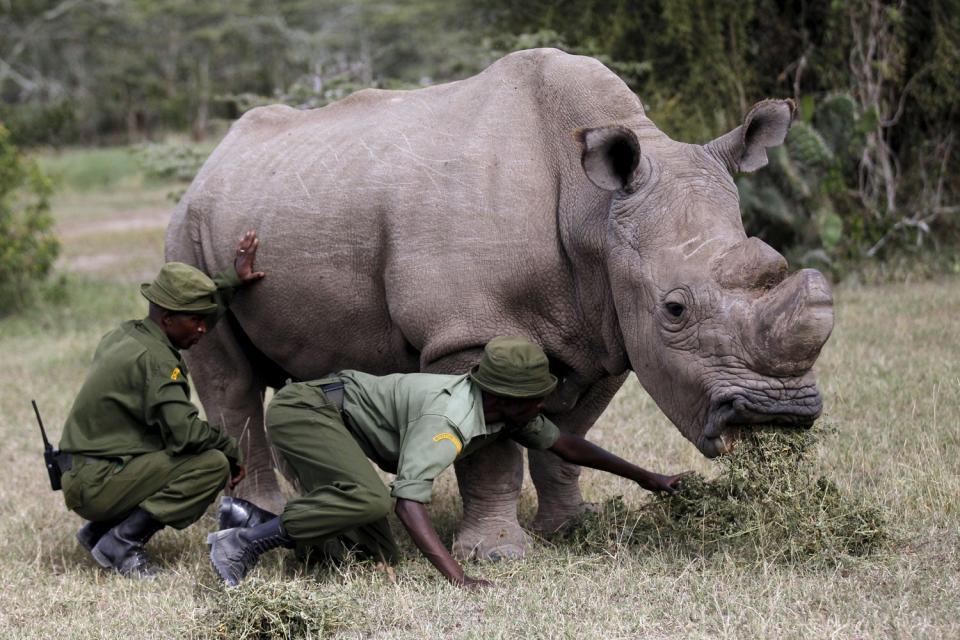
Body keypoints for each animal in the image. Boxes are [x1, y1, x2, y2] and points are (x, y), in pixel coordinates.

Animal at [165, 48, 832, 560]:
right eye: (675, 310)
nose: (778, 415)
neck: (593, 211)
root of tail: (213, 158)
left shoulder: (603, 331)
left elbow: (568, 435)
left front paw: (569, 529)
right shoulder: (468, 332)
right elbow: (490, 453)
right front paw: (499, 555)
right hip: (190, 230)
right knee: (230, 380)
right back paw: (253, 518)